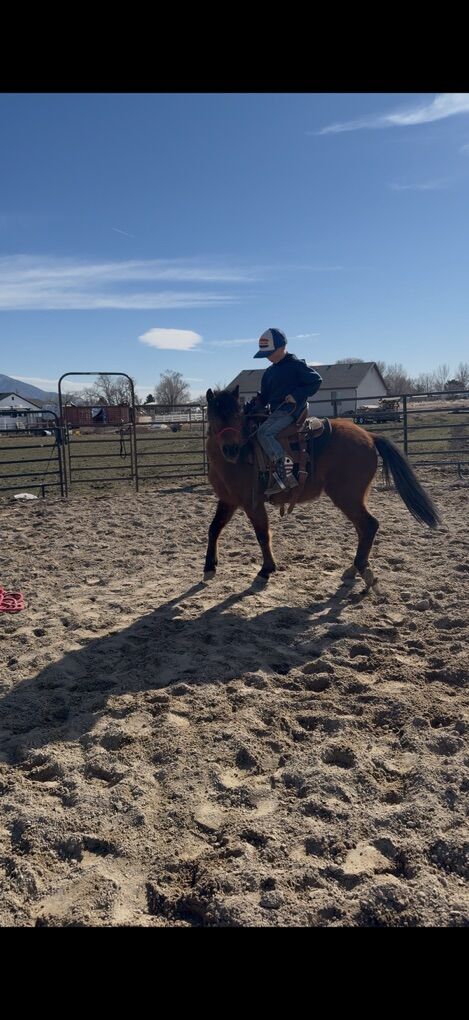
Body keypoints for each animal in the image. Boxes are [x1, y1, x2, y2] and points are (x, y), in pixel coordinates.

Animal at [203, 385, 440, 586]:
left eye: (237, 415)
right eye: (213, 417)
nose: (231, 449)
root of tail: (369, 435)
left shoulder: (252, 503)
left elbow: (262, 534)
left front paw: (266, 570)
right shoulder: (228, 500)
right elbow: (214, 528)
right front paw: (209, 567)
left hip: (346, 496)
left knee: (369, 525)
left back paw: (361, 569)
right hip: (354, 498)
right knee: (363, 528)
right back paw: (356, 568)